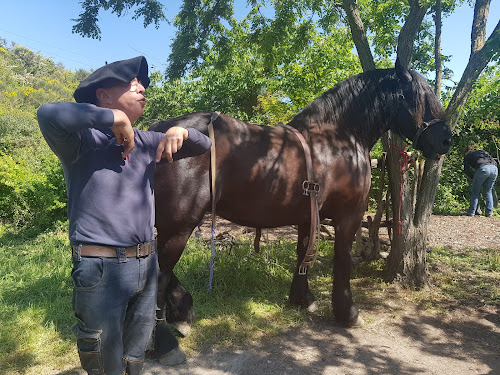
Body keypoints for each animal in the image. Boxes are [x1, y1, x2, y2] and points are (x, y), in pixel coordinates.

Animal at [149, 61, 454, 334]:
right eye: (419, 98)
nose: (446, 141)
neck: (339, 138)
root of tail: (162, 130)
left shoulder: (309, 215)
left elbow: (303, 253)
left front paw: (302, 299)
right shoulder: (349, 217)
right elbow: (342, 260)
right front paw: (348, 314)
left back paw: (182, 311)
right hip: (180, 224)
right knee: (159, 275)